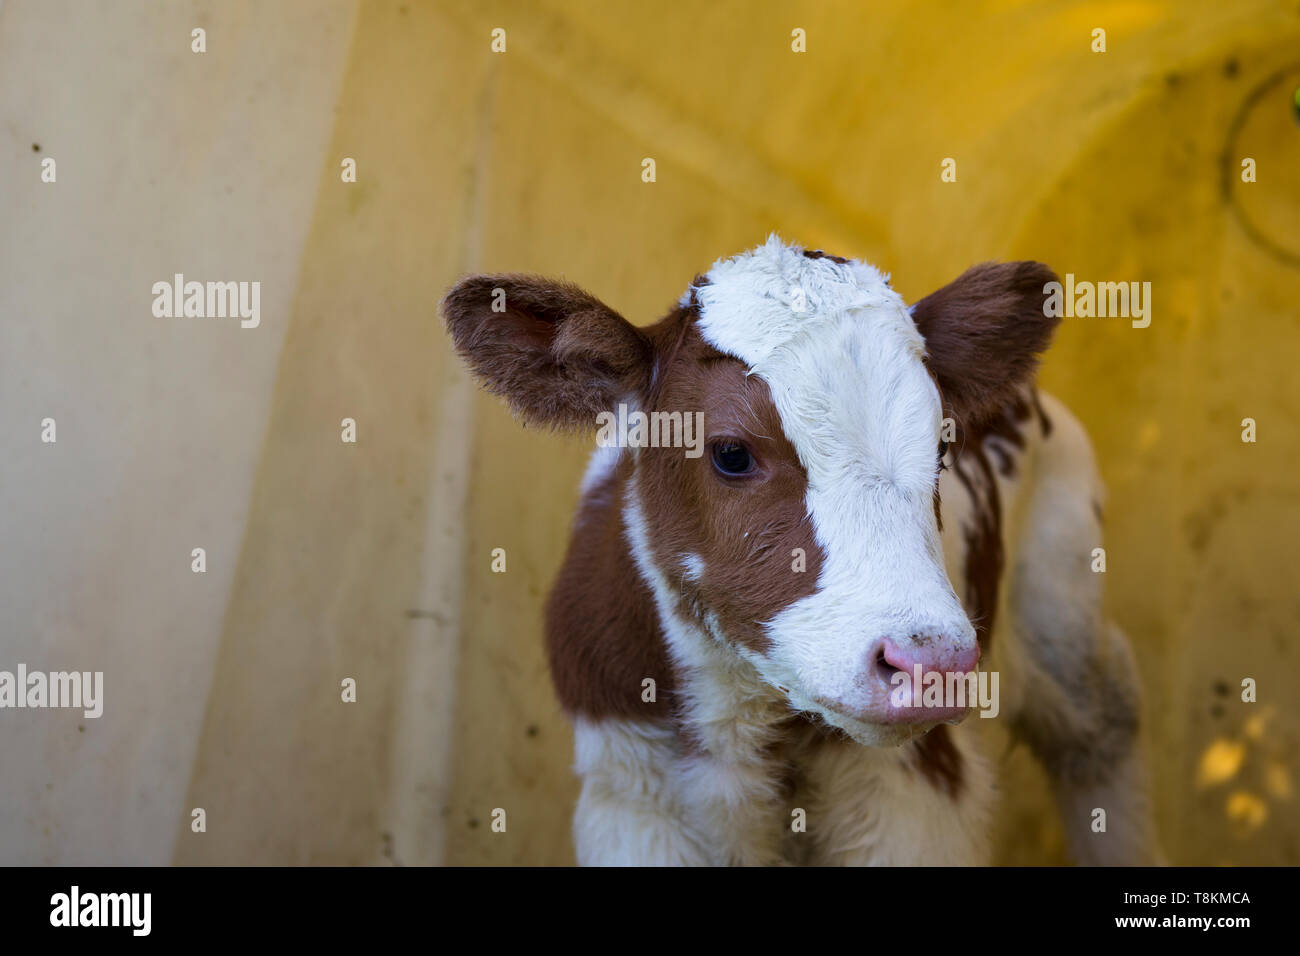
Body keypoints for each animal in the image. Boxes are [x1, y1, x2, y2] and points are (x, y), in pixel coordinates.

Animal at [444, 235, 1159, 863]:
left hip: (1061, 594)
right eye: (732, 452)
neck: (740, 719)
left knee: (1101, 725)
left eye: (942, 449)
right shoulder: (632, 796)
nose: (930, 667)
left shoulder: (915, 794)